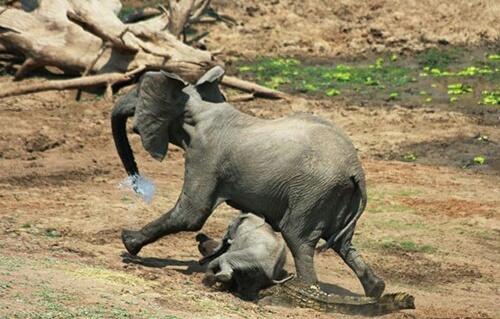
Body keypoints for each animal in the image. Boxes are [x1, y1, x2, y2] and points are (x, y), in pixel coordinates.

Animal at [111, 65, 386, 300]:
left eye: (137, 93)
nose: (137, 184)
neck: (199, 105)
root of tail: (356, 170)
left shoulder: (205, 155)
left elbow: (191, 214)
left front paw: (128, 243)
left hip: (313, 192)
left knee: (298, 238)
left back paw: (305, 291)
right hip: (337, 196)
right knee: (342, 243)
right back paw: (376, 290)